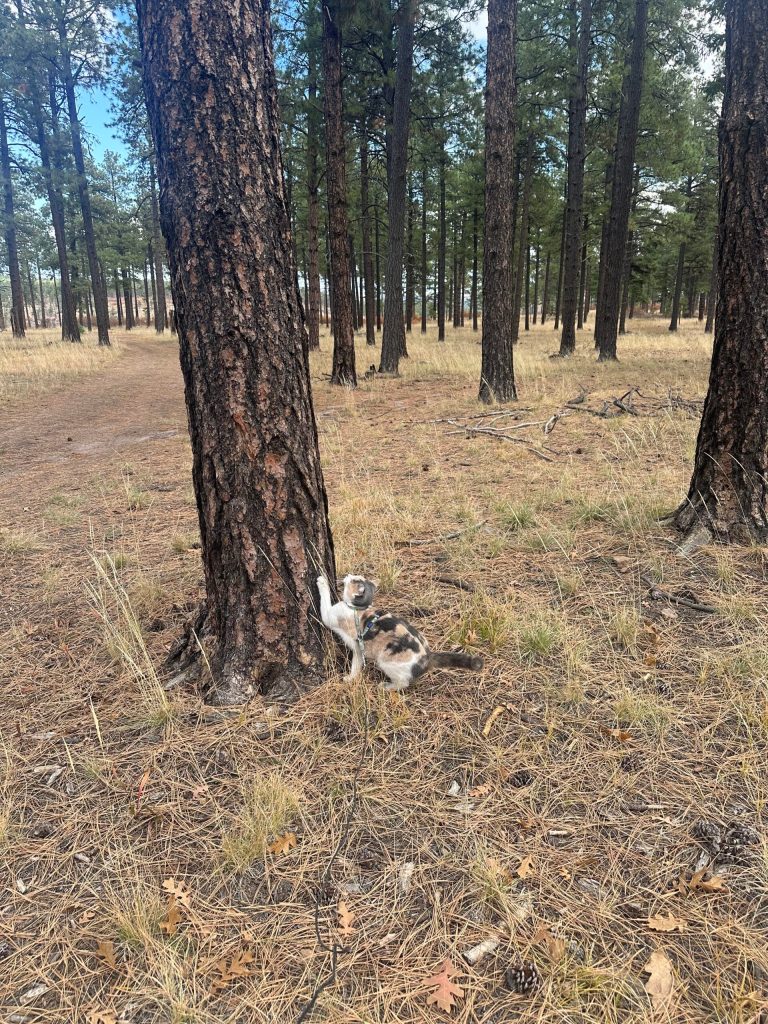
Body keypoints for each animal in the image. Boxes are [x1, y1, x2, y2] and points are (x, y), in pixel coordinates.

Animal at [315, 573, 483, 692]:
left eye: (354, 579)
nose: (348, 574)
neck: (359, 607)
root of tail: (428, 657)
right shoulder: (358, 648)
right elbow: (356, 666)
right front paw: (350, 678)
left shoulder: (329, 616)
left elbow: (324, 603)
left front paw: (322, 581)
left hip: (386, 661)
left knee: (403, 683)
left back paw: (386, 686)